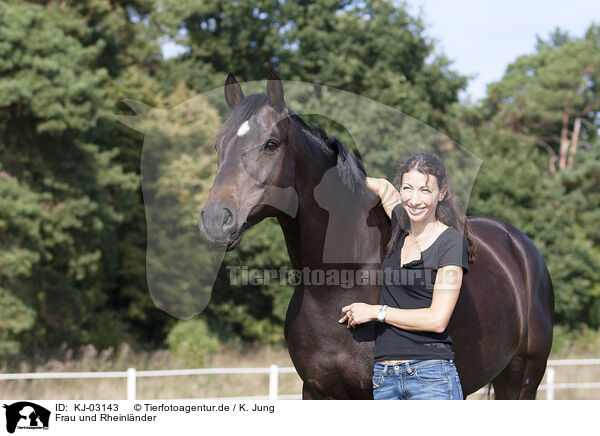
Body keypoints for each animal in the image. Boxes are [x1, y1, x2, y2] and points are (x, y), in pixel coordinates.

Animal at [199, 70, 556, 398]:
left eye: (271, 145)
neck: (338, 284)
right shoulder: (316, 391)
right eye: (219, 146)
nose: (215, 220)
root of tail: (519, 245)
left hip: (522, 379)